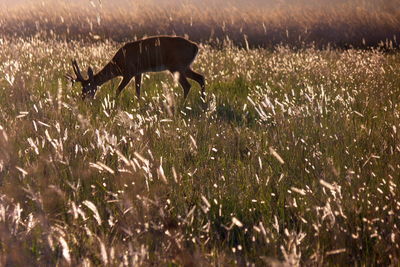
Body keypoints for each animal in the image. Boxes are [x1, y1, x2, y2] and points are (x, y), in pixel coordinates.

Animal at [67, 35, 205, 101]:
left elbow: (118, 90)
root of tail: (195, 46)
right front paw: (138, 105)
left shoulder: (129, 72)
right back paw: (203, 103)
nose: (83, 99)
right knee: (201, 78)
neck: (119, 64)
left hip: (176, 66)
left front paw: (114, 104)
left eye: (87, 88)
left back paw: (182, 104)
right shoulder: (139, 72)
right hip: (185, 67)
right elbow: (138, 91)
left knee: (187, 85)